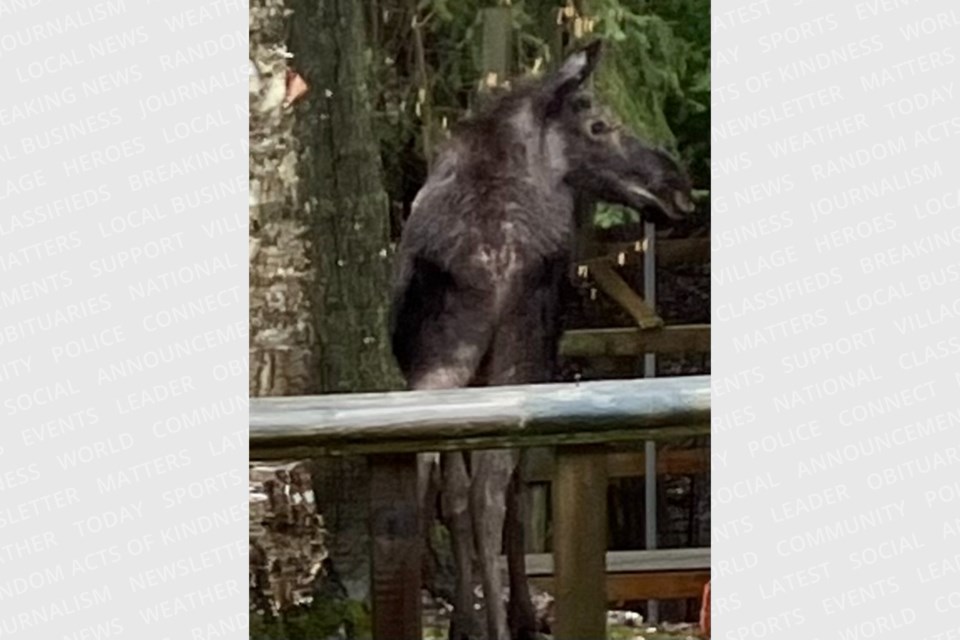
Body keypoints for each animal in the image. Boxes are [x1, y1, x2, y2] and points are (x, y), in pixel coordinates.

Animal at [386, 41, 692, 640]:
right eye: (600, 124)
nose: (677, 185)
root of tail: (479, 255)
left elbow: (454, 494)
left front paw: (464, 620)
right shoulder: (541, 360)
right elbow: (513, 491)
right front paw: (519, 613)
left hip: (441, 358)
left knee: (425, 471)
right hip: (516, 355)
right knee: (491, 486)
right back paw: (505, 625)